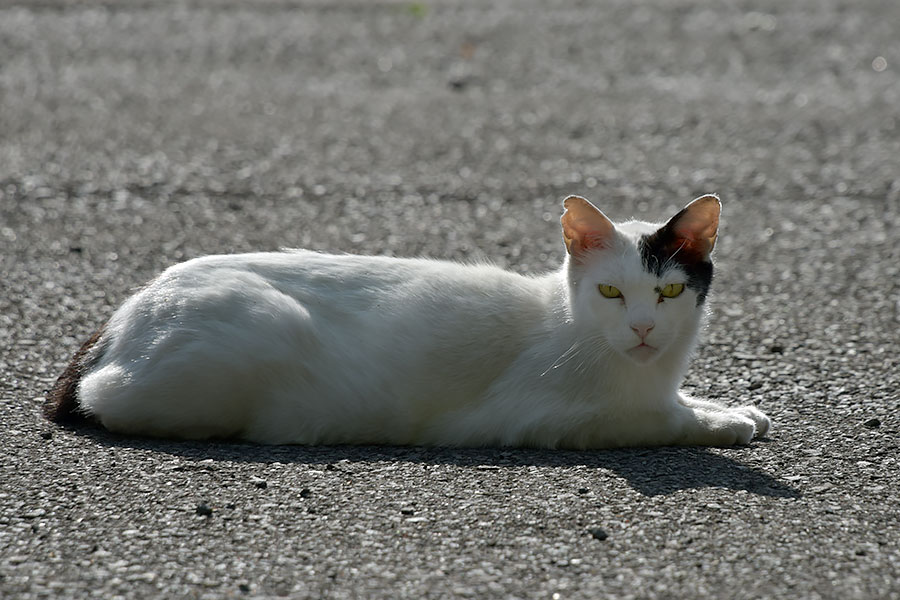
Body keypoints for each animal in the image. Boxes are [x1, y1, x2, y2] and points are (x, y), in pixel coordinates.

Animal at [45, 195, 768, 448]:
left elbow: (681, 401)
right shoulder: (555, 417)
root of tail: (125, 314)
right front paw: (723, 423)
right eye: (612, 292)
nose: (643, 329)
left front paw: (727, 405)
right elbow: (660, 420)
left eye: (669, 292)